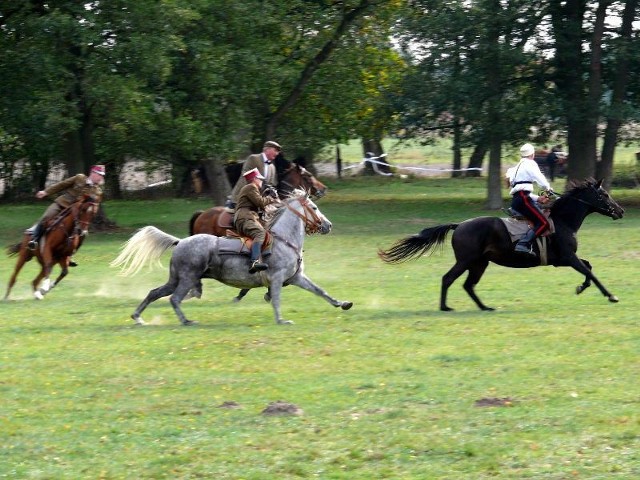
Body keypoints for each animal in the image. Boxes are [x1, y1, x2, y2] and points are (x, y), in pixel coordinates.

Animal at [112, 191, 352, 326]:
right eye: (314, 207)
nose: (328, 225)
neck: (285, 240)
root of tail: (180, 242)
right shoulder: (277, 279)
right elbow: (276, 299)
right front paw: (281, 320)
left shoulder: (296, 278)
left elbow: (321, 291)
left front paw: (343, 303)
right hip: (187, 278)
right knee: (175, 299)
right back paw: (186, 320)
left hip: (176, 279)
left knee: (156, 293)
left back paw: (138, 317)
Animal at [380, 179, 624, 312]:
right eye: (604, 194)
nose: (620, 211)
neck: (563, 220)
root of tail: (459, 225)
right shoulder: (567, 258)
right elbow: (590, 272)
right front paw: (611, 295)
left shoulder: (562, 260)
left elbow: (588, 267)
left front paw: (581, 288)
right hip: (467, 261)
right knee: (448, 279)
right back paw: (445, 307)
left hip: (479, 263)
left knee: (468, 285)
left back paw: (484, 307)